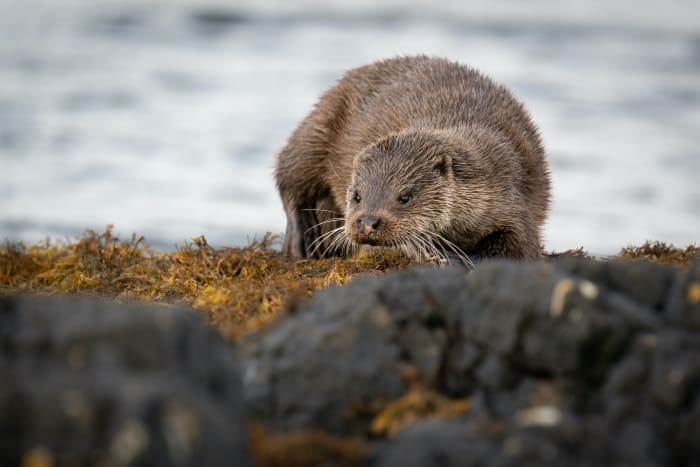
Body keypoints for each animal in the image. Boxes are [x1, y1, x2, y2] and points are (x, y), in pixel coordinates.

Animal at [274, 55, 552, 264]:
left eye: (405, 197)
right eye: (356, 196)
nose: (367, 222)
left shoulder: (513, 196)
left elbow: (518, 246)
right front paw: (437, 253)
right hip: (320, 123)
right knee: (289, 173)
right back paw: (303, 239)